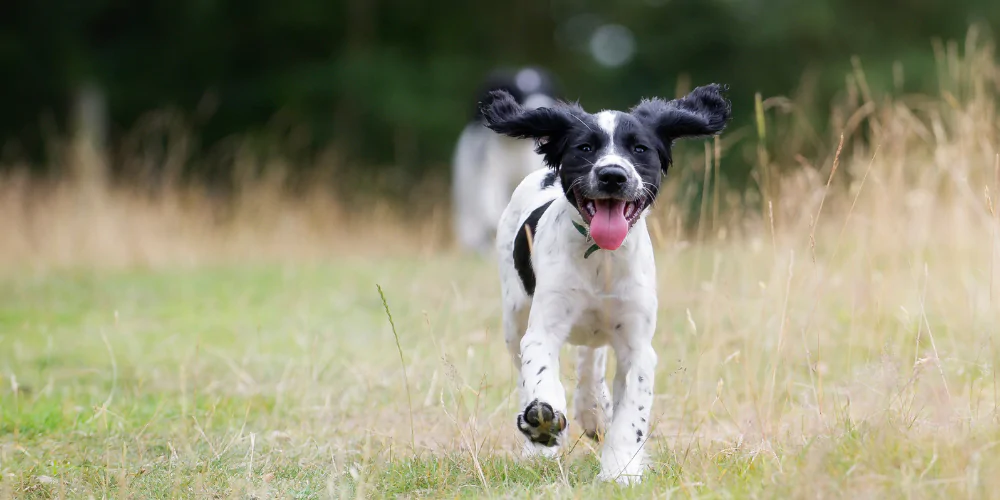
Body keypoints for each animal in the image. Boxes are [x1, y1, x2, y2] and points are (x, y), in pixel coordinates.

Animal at [480, 84, 732, 482]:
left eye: (639, 149)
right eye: (585, 148)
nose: (612, 175)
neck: (601, 257)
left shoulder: (636, 345)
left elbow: (631, 416)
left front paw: (620, 471)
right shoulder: (542, 329)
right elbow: (539, 374)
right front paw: (542, 424)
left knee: (591, 356)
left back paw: (592, 409)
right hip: (514, 315)